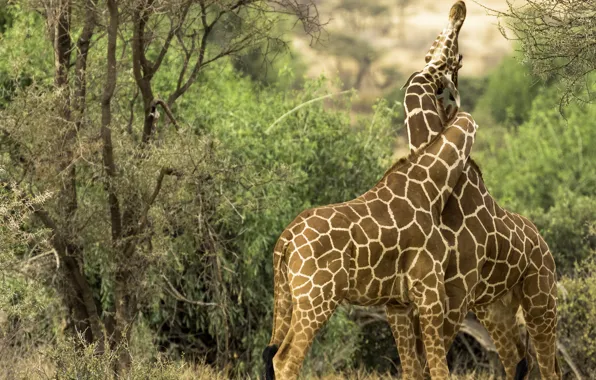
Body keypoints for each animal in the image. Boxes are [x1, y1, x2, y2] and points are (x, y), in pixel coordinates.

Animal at [262, 98, 480, 378]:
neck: (430, 190)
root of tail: (287, 238)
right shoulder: (429, 288)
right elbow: (439, 368)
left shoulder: (397, 302)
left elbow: (412, 369)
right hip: (316, 297)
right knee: (285, 359)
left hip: (287, 294)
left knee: (272, 352)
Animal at [398, 1, 560, 378]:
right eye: (453, 57)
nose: (458, 8)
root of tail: (544, 245)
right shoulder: (428, 295)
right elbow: (416, 366)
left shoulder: (455, 293)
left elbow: (430, 364)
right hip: (495, 309)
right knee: (518, 361)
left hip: (540, 301)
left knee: (549, 367)